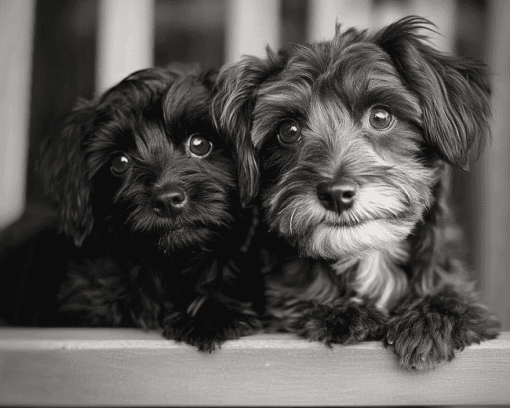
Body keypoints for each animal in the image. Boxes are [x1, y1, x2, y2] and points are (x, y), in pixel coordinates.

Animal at [213, 17, 500, 370]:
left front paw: (431, 321)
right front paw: (342, 312)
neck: (369, 254)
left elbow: (460, 304)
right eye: (288, 131)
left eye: (380, 116)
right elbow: (299, 304)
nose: (336, 194)